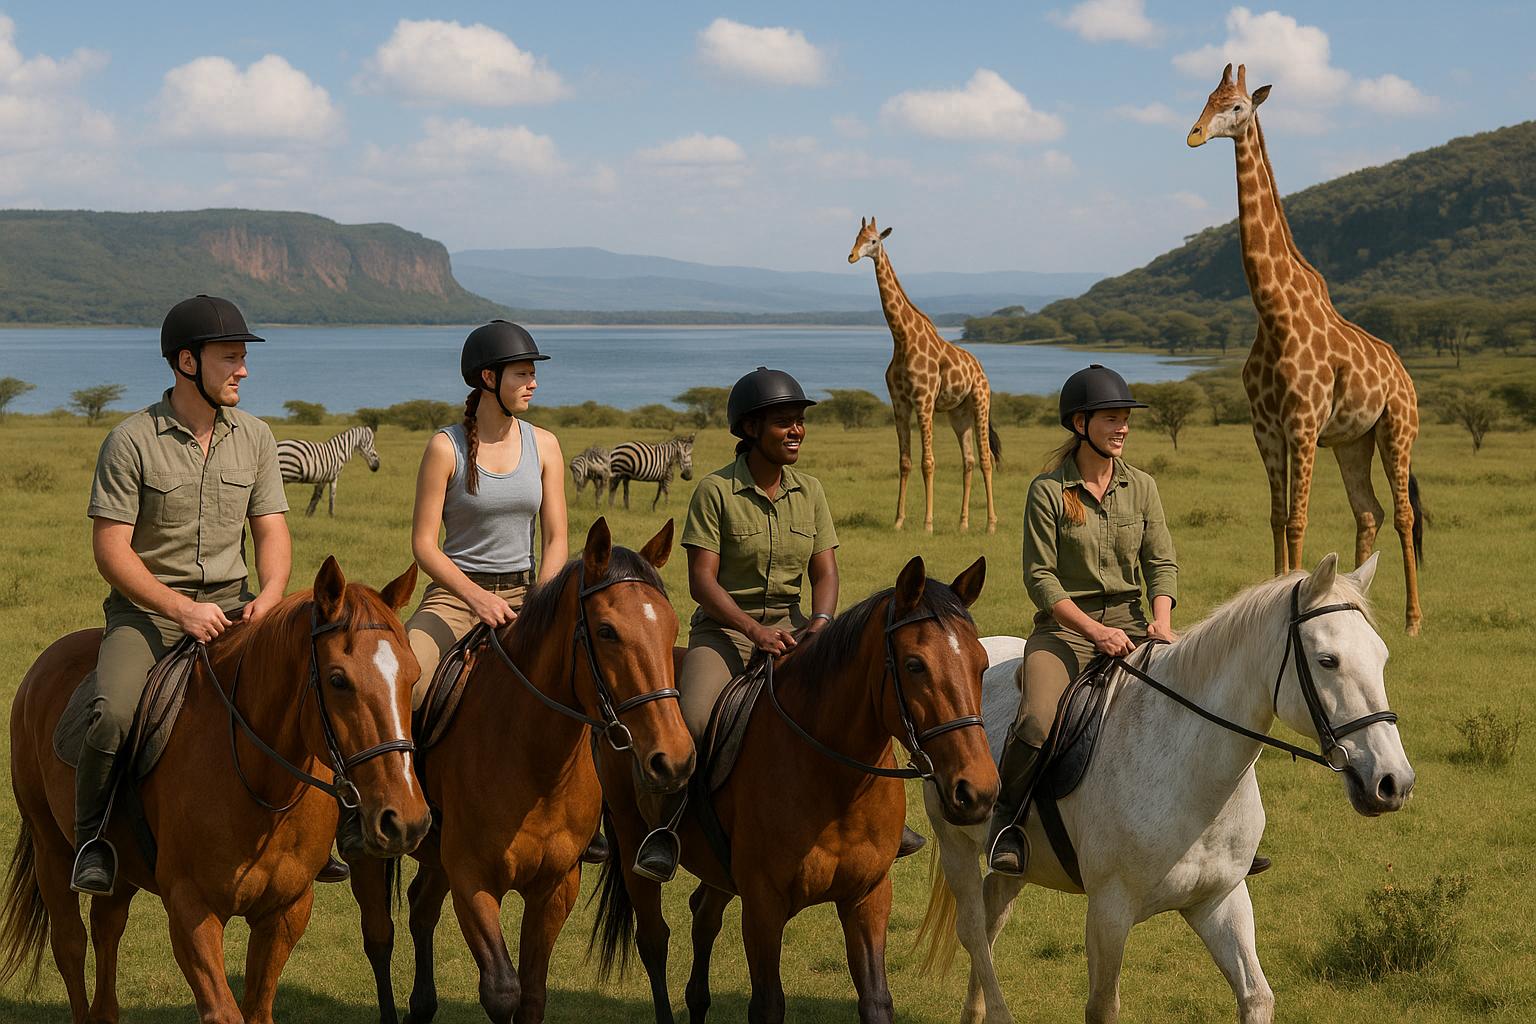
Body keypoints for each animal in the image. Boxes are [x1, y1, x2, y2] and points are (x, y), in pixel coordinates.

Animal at [1, 557, 430, 1024]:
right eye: (338, 681)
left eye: (413, 675)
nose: (406, 820)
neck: (260, 786)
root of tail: (44, 663)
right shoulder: (192, 911)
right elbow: (224, 1011)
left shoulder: (286, 912)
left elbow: (257, 1008)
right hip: (50, 847)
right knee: (70, 943)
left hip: (123, 863)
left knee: (106, 927)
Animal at [345, 518, 695, 1024]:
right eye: (607, 631)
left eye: (671, 627)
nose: (675, 757)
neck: (535, 763)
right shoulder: (473, 879)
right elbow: (502, 990)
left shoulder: (555, 886)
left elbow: (531, 994)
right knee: (379, 936)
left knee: (420, 907)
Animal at [592, 555, 1000, 1024]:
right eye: (915, 665)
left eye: (982, 664)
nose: (978, 791)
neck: (834, 784)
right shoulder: (763, 907)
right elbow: (768, 1004)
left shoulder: (868, 898)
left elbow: (876, 1000)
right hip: (631, 836)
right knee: (654, 939)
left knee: (704, 915)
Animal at [919, 552, 1416, 1024]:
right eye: (1328, 660)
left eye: (1383, 657)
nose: (1393, 782)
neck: (1192, 775)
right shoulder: (1109, 912)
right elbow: (1102, 1007)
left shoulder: (1221, 901)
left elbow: (1256, 997)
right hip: (955, 841)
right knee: (973, 930)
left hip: (1020, 864)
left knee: (991, 918)